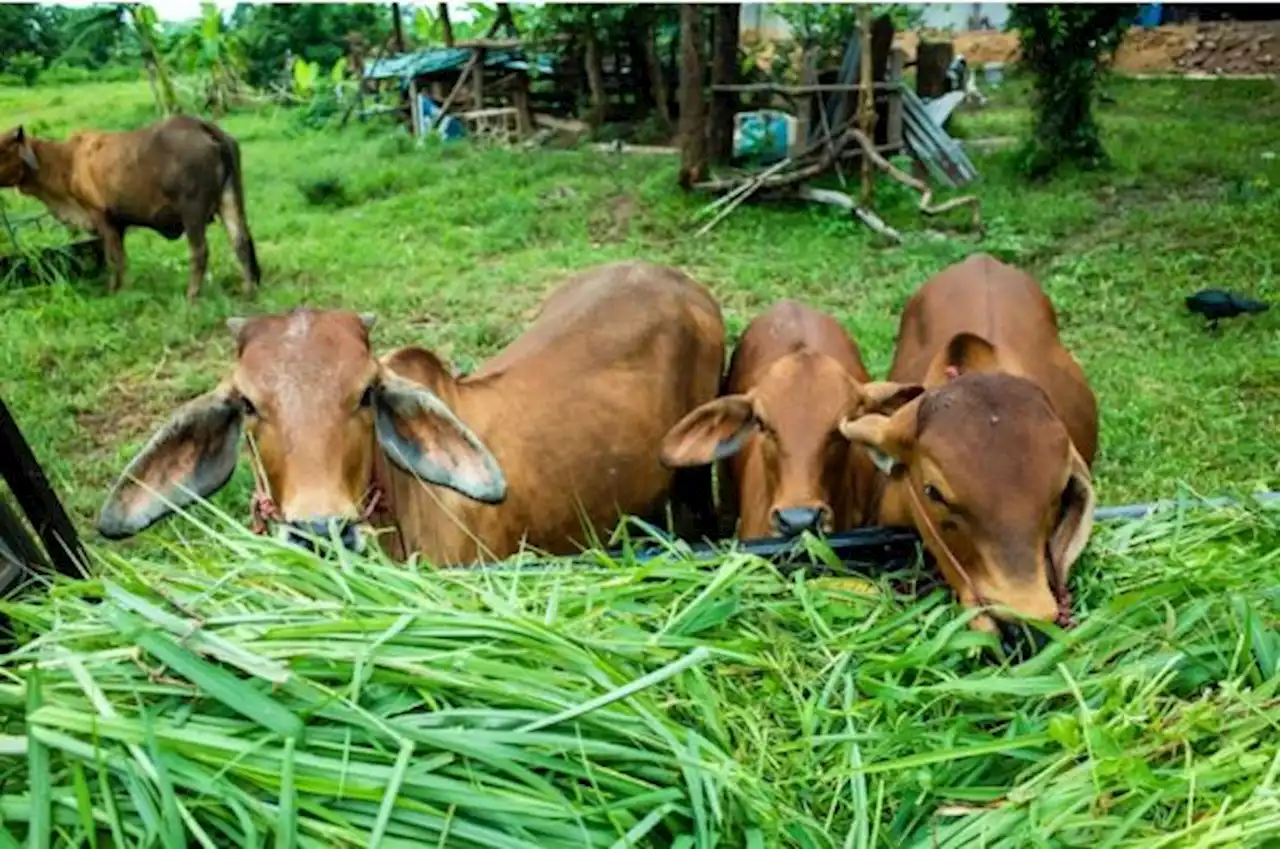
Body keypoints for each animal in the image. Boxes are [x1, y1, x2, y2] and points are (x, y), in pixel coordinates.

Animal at [0, 115, 259, 302]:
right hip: (230, 197)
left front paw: (118, 292)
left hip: (192, 209)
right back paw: (248, 290)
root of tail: (202, 125)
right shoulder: (118, 223)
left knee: (200, 251)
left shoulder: (101, 216)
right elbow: (118, 257)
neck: (66, 163)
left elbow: (115, 259)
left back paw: (192, 295)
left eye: (2, 149)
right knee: (241, 241)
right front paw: (119, 288)